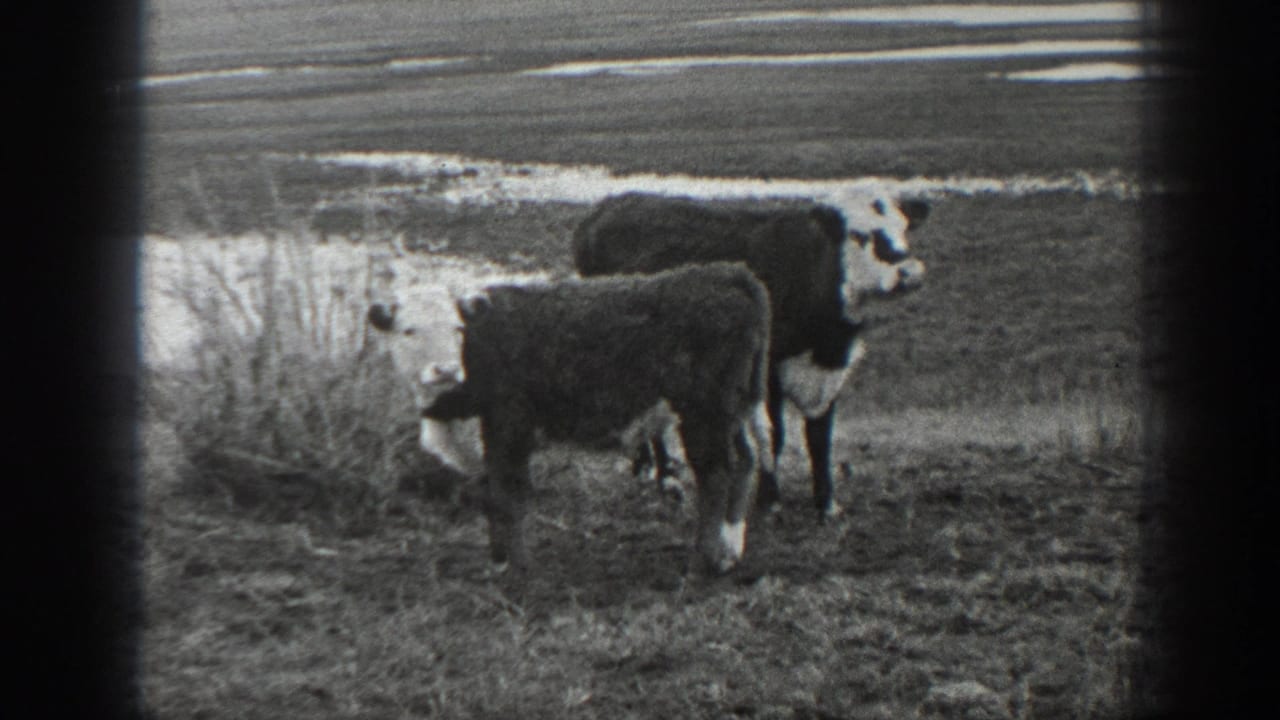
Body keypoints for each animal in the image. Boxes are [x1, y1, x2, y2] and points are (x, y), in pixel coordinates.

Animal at [368, 262, 773, 576]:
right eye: (408, 331)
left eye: (457, 329)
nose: (446, 370)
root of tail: (726, 272)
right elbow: (490, 494)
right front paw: (498, 560)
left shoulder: (510, 426)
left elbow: (509, 496)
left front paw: (518, 569)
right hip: (732, 407)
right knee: (745, 459)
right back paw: (729, 550)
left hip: (704, 410)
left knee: (715, 474)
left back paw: (703, 560)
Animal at [572, 191, 929, 521]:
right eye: (858, 234)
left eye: (904, 227)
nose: (910, 272)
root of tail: (611, 203)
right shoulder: (766, 372)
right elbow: (772, 435)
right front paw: (769, 501)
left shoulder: (828, 377)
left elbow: (820, 439)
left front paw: (826, 505)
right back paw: (662, 476)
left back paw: (654, 470)